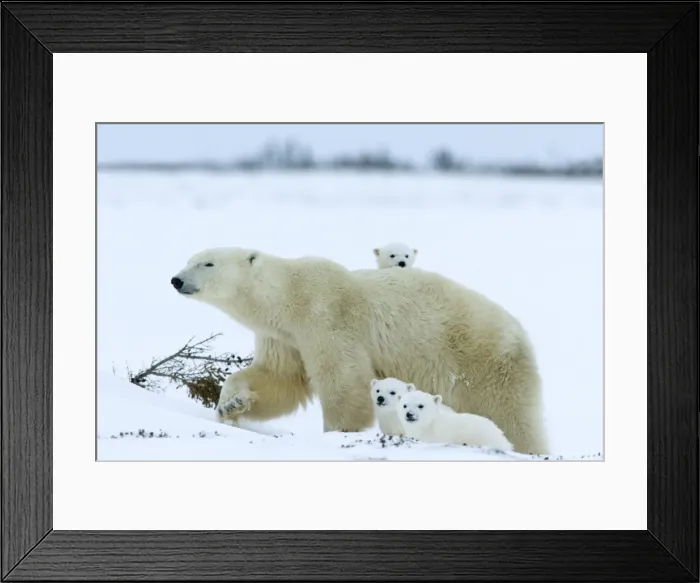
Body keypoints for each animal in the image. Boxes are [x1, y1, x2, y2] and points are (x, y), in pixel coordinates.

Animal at [170, 246, 549, 455]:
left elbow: (343, 379)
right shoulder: (283, 336)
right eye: (190, 259)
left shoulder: (325, 316)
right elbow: (280, 379)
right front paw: (230, 404)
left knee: (512, 416)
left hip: (484, 364)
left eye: (208, 263)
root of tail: (521, 333)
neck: (288, 296)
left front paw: (339, 432)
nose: (176, 279)